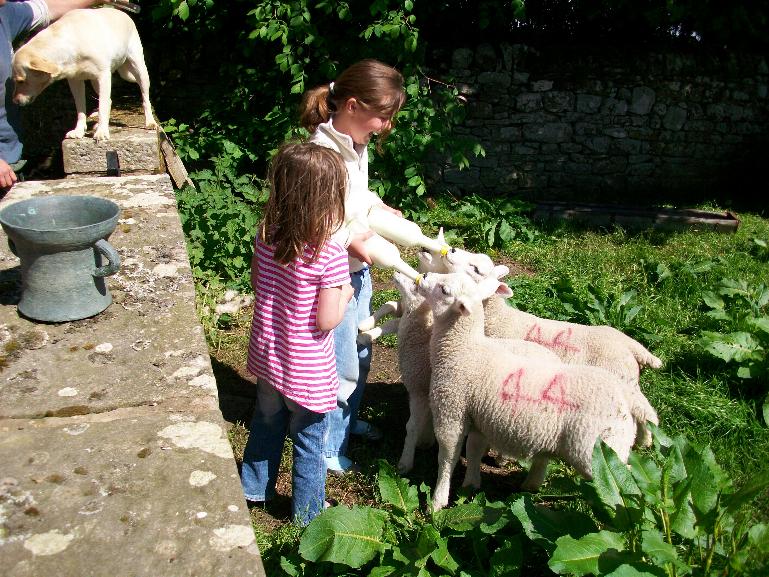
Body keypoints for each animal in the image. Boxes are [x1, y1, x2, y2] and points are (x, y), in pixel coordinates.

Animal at [11, 7, 155, 142]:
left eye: (20, 81)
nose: (14, 101)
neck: (70, 42)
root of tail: (122, 13)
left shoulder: (103, 76)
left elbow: (102, 105)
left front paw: (102, 132)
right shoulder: (75, 82)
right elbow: (81, 109)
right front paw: (79, 131)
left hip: (139, 70)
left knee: (145, 98)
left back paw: (150, 122)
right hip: (95, 82)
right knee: (108, 101)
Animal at [416, 270, 656, 508]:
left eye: (445, 290)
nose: (424, 275)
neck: (463, 349)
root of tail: (625, 400)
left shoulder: (451, 410)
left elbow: (447, 457)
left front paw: (437, 501)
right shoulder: (478, 416)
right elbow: (474, 450)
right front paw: (470, 485)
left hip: (600, 453)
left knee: (620, 481)